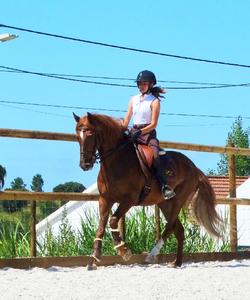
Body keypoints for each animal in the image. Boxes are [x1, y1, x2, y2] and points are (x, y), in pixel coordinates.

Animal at [73, 112, 222, 270]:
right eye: (77, 136)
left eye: (90, 134)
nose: (85, 164)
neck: (116, 162)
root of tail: (193, 167)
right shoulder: (105, 199)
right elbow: (101, 227)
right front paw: (93, 259)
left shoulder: (129, 200)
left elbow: (113, 221)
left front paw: (124, 251)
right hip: (164, 204)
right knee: (179, 230)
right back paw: (176, 262)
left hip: (178, 200)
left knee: (170, 227)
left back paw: (152, 254)